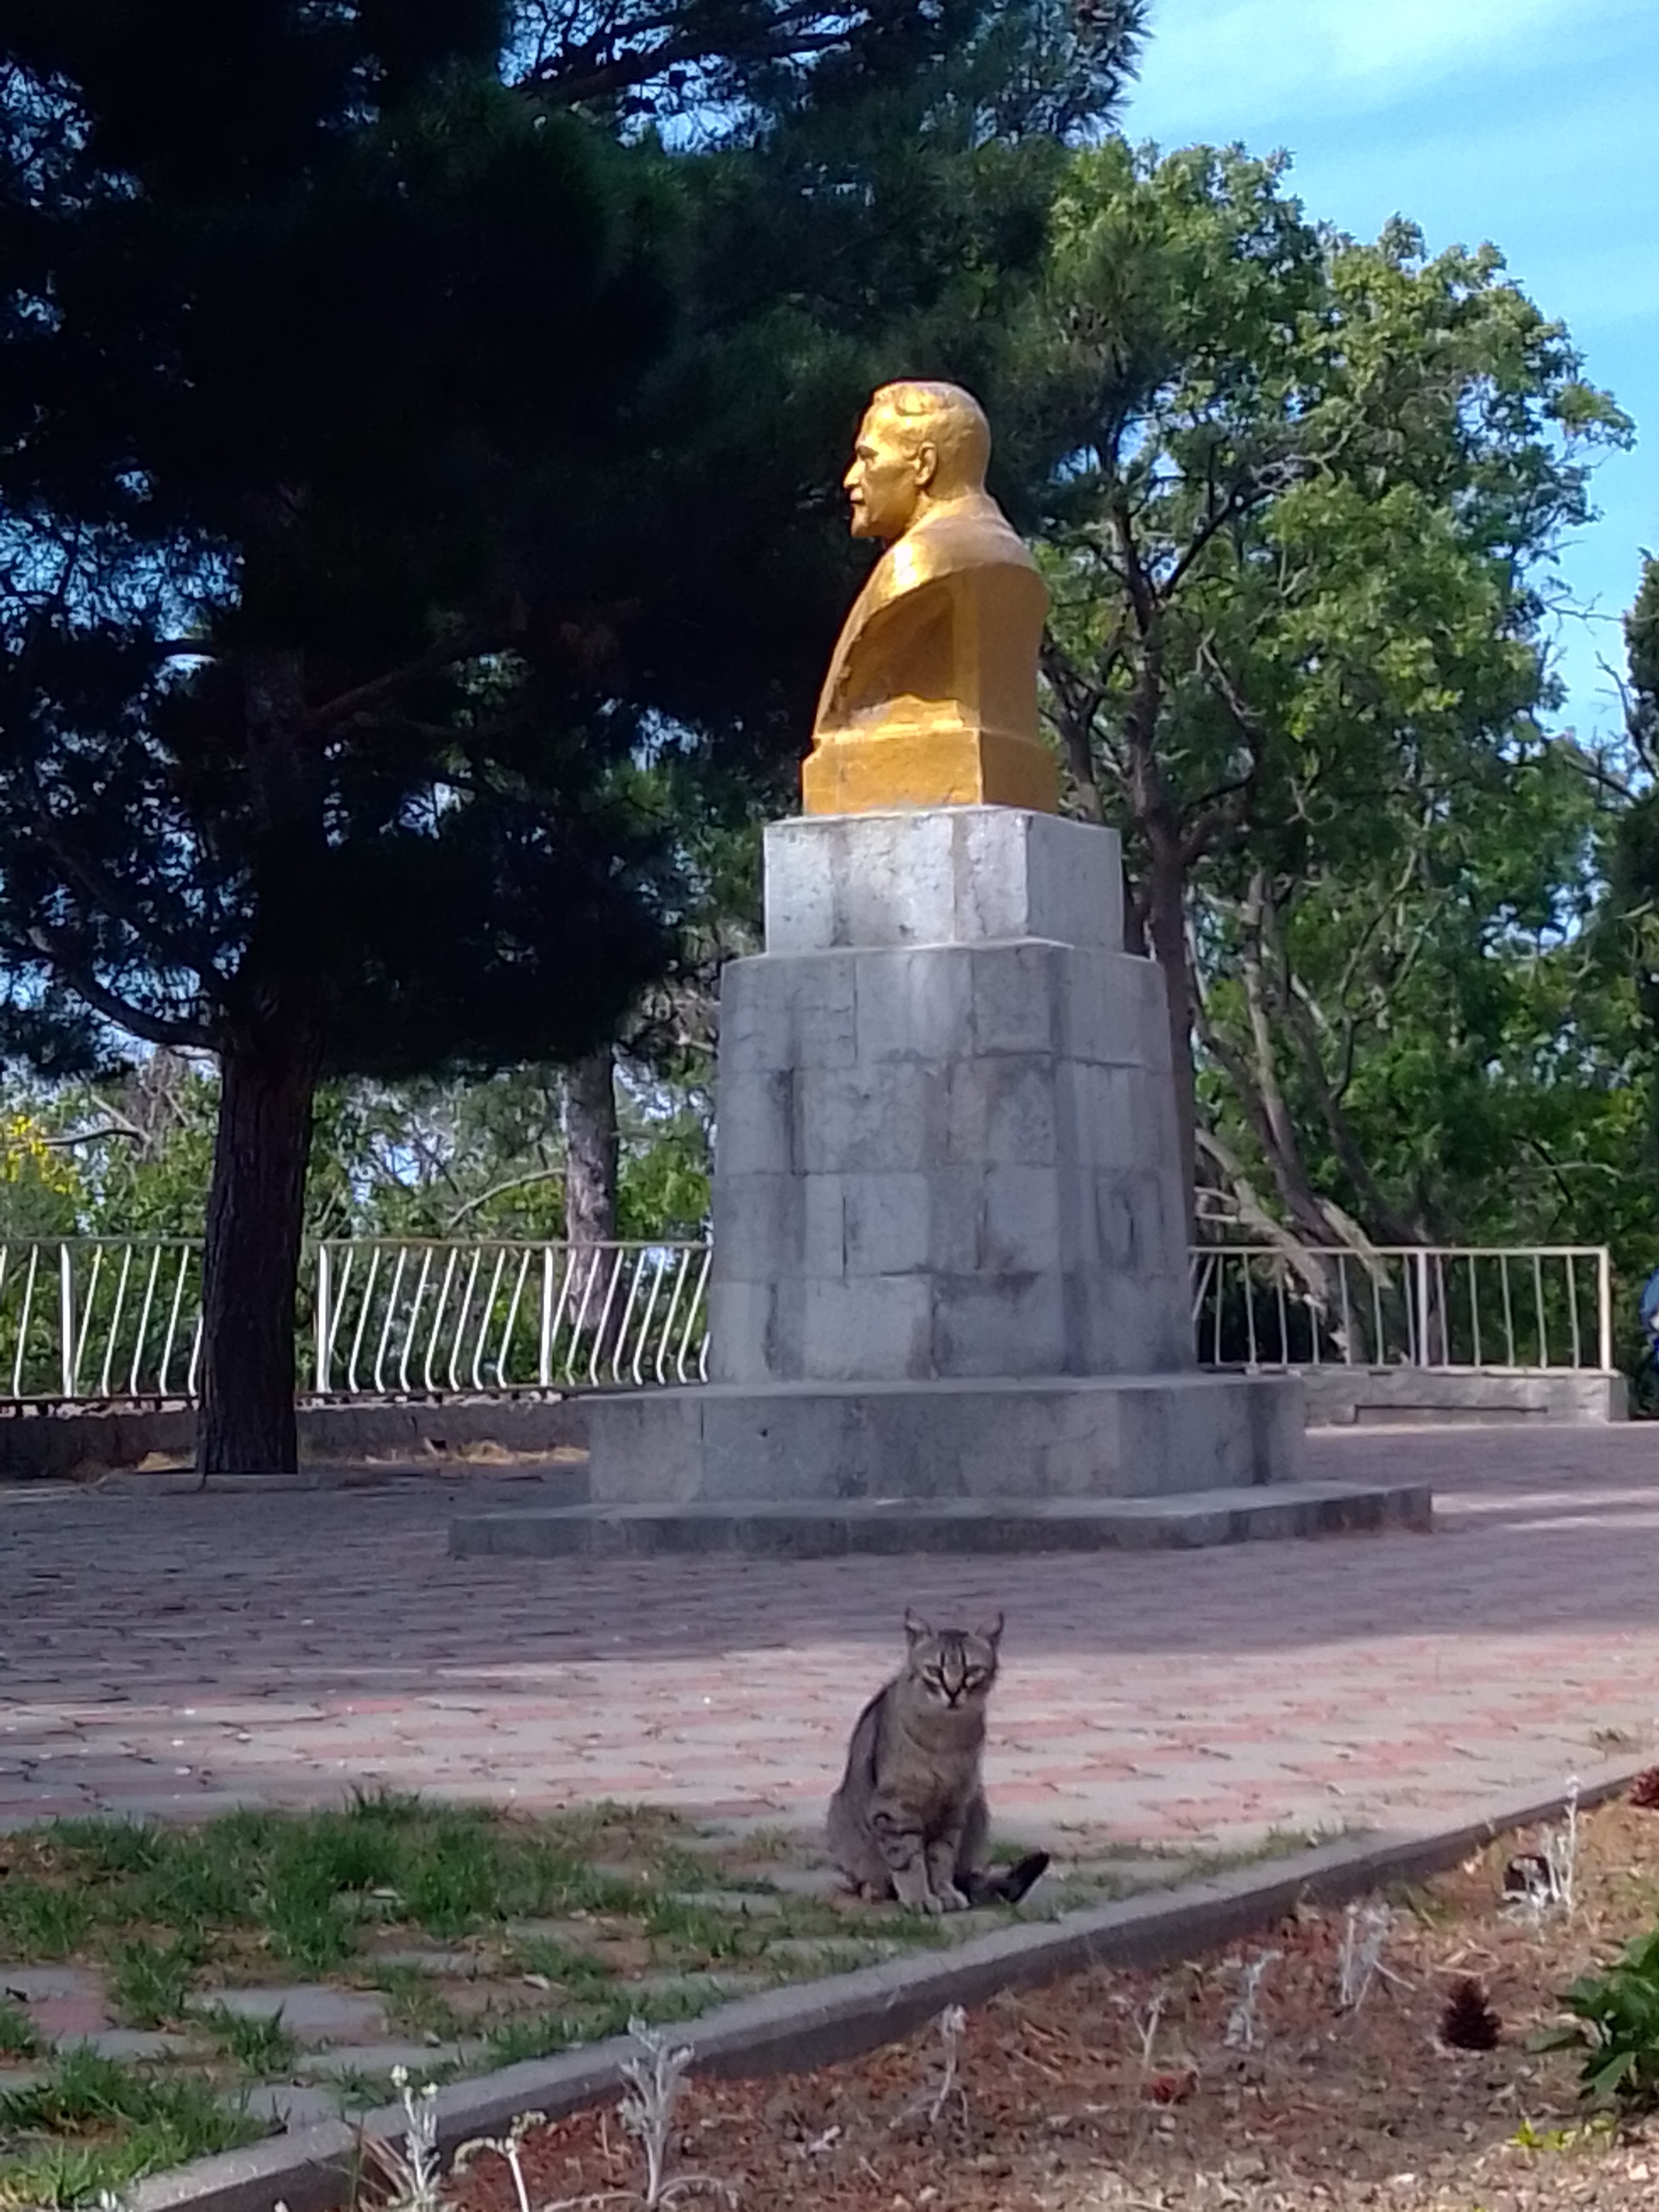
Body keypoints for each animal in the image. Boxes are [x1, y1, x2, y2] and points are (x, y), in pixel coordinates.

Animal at [831, 1619, 1052, 1911]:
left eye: (972, 1670)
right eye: (934, 1671)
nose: (953, 1691)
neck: (944, 1737)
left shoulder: (953, 1807)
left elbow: (941, 1859)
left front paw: (944, 1892)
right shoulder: (896, 1808)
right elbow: (909, 1862)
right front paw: (919, 1898)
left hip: (978, 1810)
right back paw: (874, 1889)